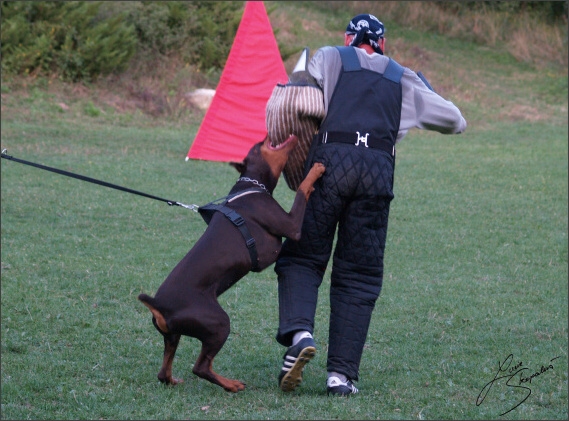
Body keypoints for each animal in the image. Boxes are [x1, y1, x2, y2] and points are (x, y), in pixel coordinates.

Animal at [138, 135, 324, 390]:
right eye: (260, 145)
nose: (266, 134)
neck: (253, 185)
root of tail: (159, 307)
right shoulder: (292, 226)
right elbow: (303, 190)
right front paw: (316, 171)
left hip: (172, 336)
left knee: (164, 372)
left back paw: (174, 379)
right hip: (218, 323)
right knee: (201, 367)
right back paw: (231, 385)